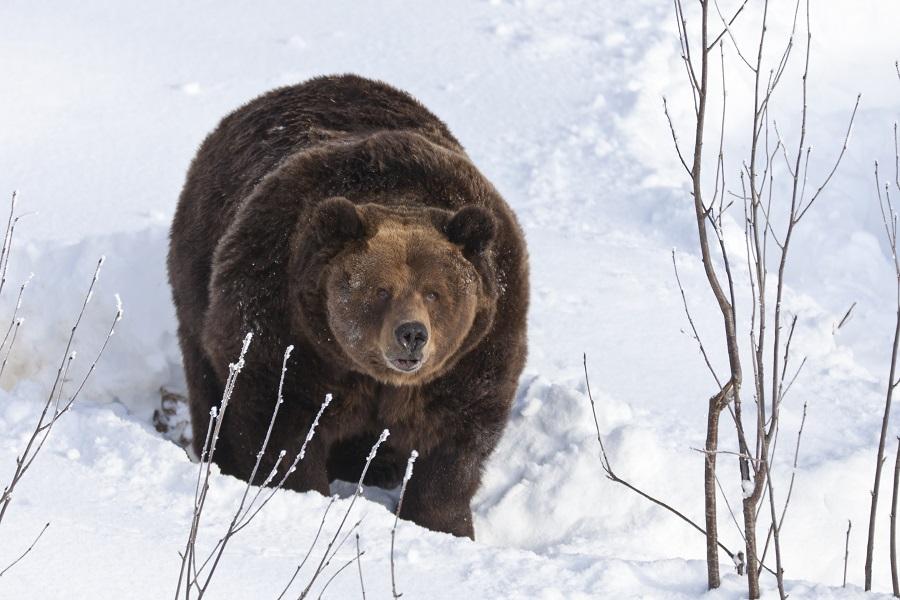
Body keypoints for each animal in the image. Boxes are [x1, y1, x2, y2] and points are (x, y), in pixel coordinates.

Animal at [168, 74, 528, 539]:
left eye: (434, 292)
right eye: (379, 290)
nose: (412, 334)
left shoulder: (479, 344)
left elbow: (455, 443)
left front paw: (446, 524)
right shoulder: (283, 323)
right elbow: (279, 419)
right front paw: (297, 492)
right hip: (196, 270)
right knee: (209, 384)